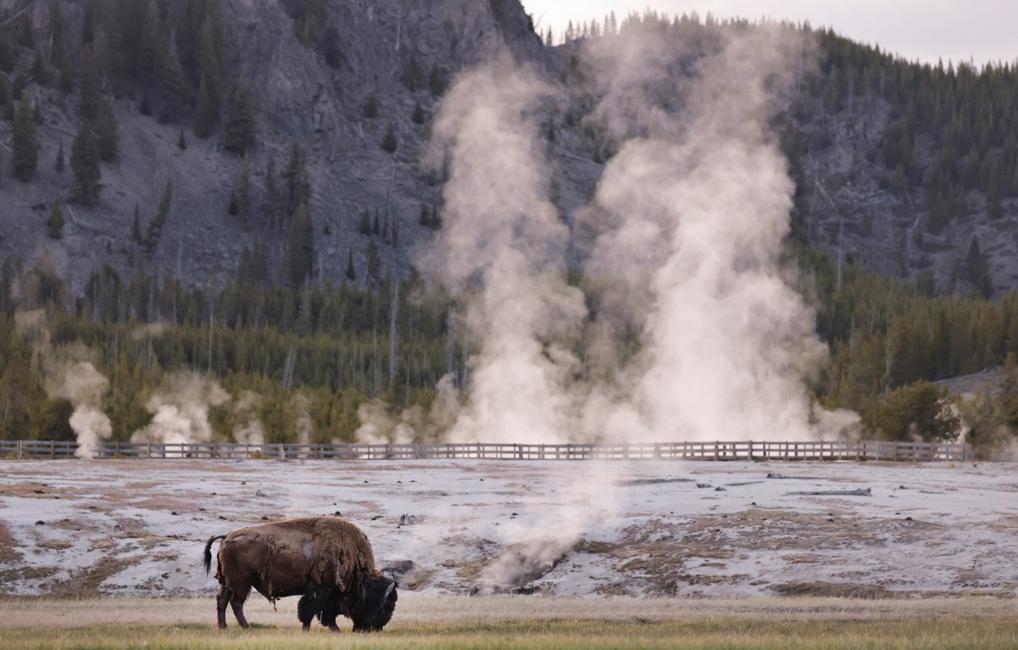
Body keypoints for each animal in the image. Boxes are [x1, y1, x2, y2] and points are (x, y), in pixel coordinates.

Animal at [203, 516, 397, 632]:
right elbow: (310, 610)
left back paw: (224, 627)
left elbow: (325, 614)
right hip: (241, 584)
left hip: (229, 583)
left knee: (222, 601)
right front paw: (307, 629)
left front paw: (334, 629)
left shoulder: (329, 594)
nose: (376, 628)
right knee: (236, 603)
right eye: (385, 606)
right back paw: (245, 626)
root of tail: (227, 536)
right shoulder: (321, 590)